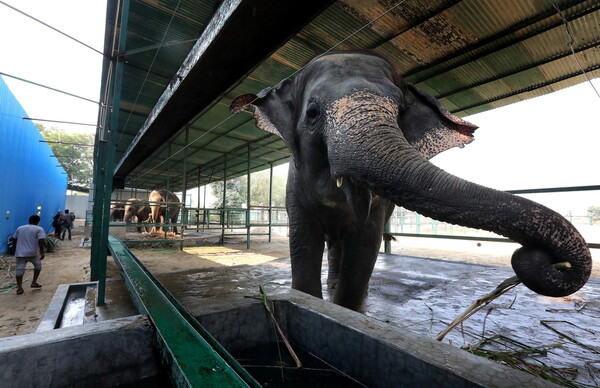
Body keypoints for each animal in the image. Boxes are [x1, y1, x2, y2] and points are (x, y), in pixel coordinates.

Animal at [232, 50, 592, 312]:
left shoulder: (379, 209)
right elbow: (303, 241)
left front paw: (348, 311)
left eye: (401, 110)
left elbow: (365, 245)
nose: (550, 260)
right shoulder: (295, 190)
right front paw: (309, 302)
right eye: (312, 114)